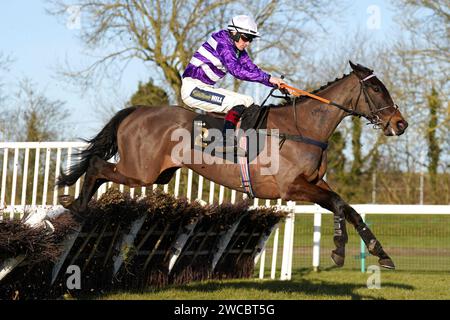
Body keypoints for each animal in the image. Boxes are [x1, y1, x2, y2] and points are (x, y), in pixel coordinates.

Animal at [57, 60, 408, 270]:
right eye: (376, 88)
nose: (400, 123)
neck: (303, 127)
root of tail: (137, 111)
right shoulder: (291, 187)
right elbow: (337, 203)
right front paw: (339, 249)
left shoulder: (314, 183)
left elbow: (348, 209)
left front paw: (379, 253)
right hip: (140, 172)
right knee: (97, 165)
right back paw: (78, 207)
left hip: (154, 174)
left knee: (99, 168)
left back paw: (77, 207)